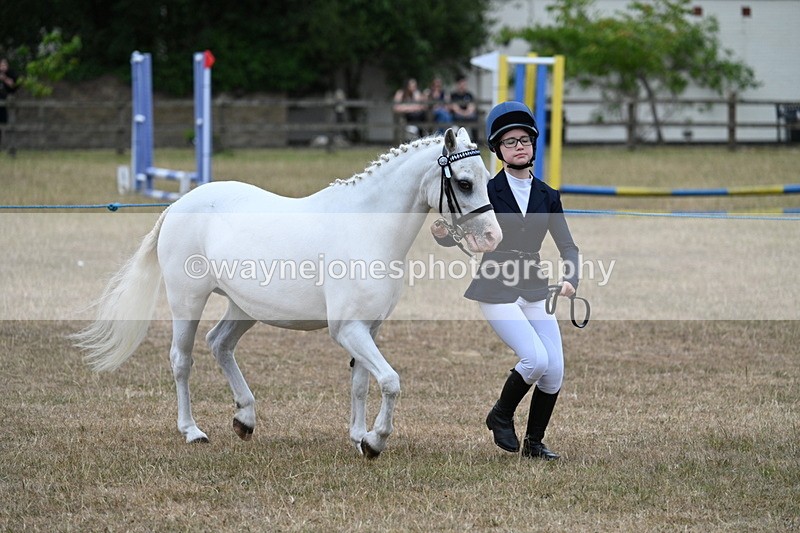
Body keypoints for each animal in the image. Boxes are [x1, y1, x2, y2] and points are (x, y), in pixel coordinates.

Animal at [73, 127, 501, 458]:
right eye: (464, 183)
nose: (492, 238)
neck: (367, 229)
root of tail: (179, 203)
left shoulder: (369, 328)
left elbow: (363, 383)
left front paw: (358, 437)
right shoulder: (348, 330)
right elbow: (391, 381)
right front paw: (375, 442)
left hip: (243, 308)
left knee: (219, 344)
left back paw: (245, 419)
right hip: (187, 300)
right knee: (182, 359)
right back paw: (192, 431)